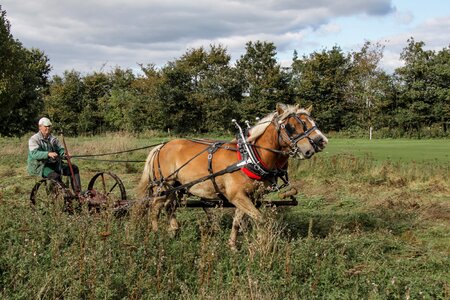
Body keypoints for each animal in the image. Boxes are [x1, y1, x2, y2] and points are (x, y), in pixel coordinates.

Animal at [137, 103, 326, 248]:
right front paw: (262, 243)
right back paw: (157, 235)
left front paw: (233, 245)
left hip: (176, 187)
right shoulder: (237, 196)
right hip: (164, 185)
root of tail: (161, 146)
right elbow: (260, 219)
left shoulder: (247, 196)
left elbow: (237, 222)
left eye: (311, 122)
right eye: (291, 126)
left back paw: (174, 230)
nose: (320, 142)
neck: (249, 156)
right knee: (155, 208)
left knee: (169, 206)